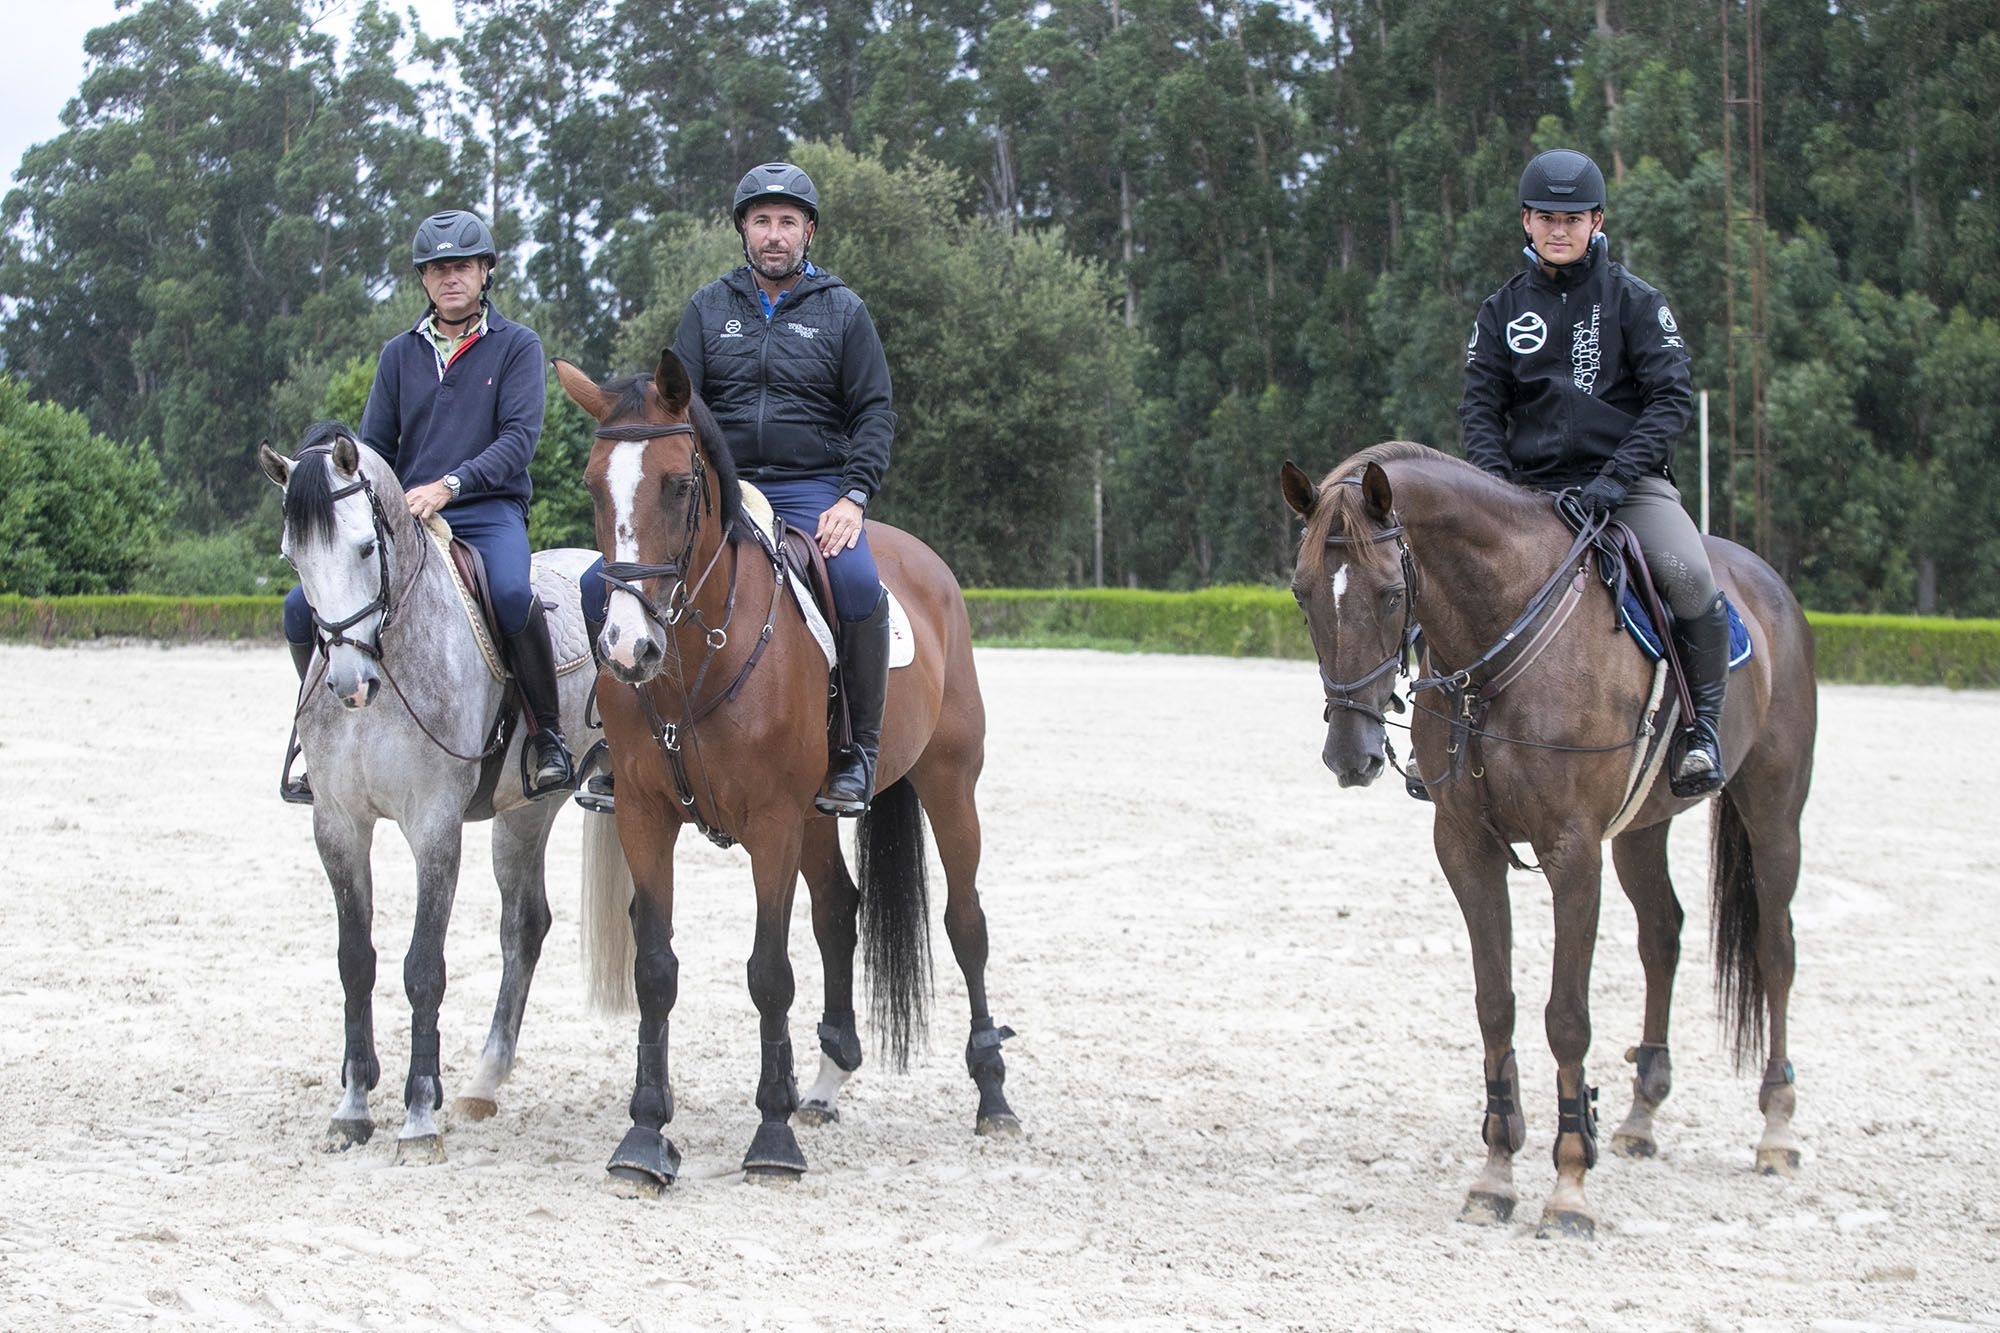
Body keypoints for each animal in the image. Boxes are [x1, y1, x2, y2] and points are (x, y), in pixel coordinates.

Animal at [258, 428, 628, 1160]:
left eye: (364, 548)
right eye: (293, 557)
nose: (349, 683)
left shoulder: (434, 825)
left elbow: (422, 966)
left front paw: (418, 1113)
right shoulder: (338, 826)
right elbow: (355, 962)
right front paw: (353, 1105)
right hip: (525, 811)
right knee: (525, 926)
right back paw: (485, 1080)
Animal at [556, 348, 1016, 1184]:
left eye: (678, 483)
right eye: (591, 482)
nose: (627, 648)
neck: (695, 653)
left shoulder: (770, 821)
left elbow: (769, 971)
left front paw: (771, 1137)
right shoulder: (643, 814)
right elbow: (655, 969)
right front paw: (645, 1133)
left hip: (947, 784)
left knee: (966, 923)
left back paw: (993, 1095)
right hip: (815, 816)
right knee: (839, 910)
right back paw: (827, 1082)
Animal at [1280, 440, 1816, 1232]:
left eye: (1387, 593)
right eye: (1302, 591)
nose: (1352, 754)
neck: (1498, 643)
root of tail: (1767, 581)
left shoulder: (1573, 852)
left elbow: (1566, 1017)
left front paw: (1569, 1184)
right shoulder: (1466, 849)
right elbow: (1494, 1004)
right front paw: (1496, 1171)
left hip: (1774, 811)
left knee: (1776, 950)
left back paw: (1777, 1128)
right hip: (1639, 831)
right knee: (1662, 936)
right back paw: (1639, 1116)